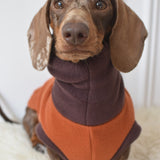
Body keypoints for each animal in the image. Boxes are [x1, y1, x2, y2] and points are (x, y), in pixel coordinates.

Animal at [22, 0, 148, 160]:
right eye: (58, 4)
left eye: (100, 5)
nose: (75, 32)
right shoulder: (53, 148)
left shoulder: (125, 147)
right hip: (32, 114)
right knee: (33, 131)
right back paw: (38, 145)